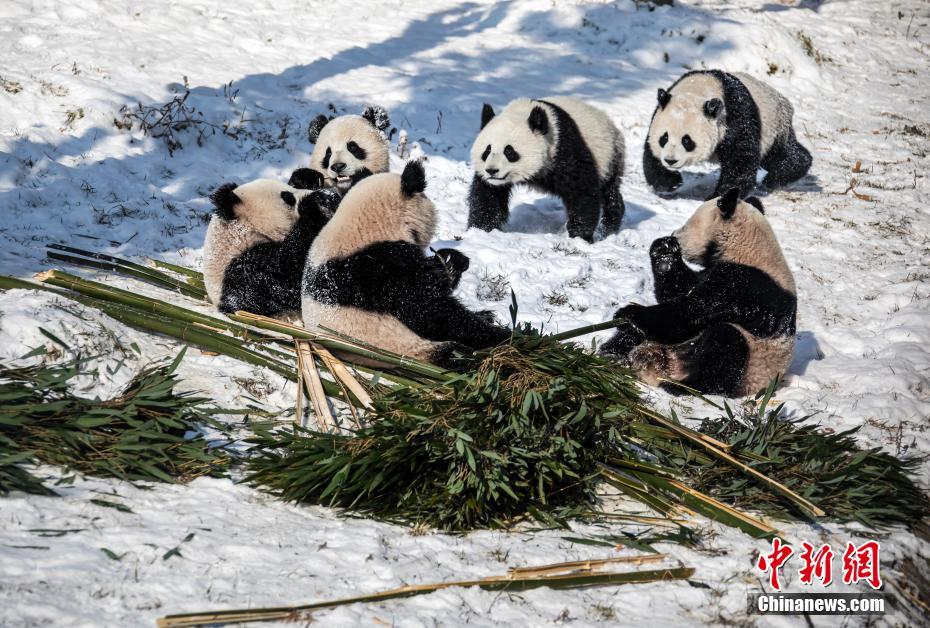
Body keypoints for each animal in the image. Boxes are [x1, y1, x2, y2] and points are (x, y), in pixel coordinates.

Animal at [300, 159, 508, 370]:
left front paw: (453, 260)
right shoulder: (382, 269)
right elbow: (430, 311)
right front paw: (502, 336)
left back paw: (486, 315)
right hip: (407, 348)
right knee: (458, 355)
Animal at [468, 97, 628, 244]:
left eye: (509, 152)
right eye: (487, 151)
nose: (492, 171)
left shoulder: (564, 149)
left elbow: (582, 190)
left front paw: (579, 236)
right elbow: (488, 196)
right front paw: (481, 230)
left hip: (609, 157)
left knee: (610, 192)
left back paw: (607, 227)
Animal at [600, 188, 796, 398]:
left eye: (686, 225)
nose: (674, 234)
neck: (747, 246)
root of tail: (667, 365)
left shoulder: (745, 285)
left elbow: (691, 311)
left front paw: (627, 313)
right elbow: (679, 292)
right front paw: (664, 252)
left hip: (753, 366)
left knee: (725, 345)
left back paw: (684, 387)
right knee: (640, 335)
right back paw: (611, 352)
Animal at [640, 71, 808, 199]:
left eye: (687, 141)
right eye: (664, 138)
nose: (670, 160)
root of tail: (785, 102)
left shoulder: (735, 116)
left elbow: (740, 159)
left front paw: (720, 196)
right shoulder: (658, 114)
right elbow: (650, 154)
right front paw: (671, 181)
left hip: (774, 128)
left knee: (781, 154)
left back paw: (776, 177)